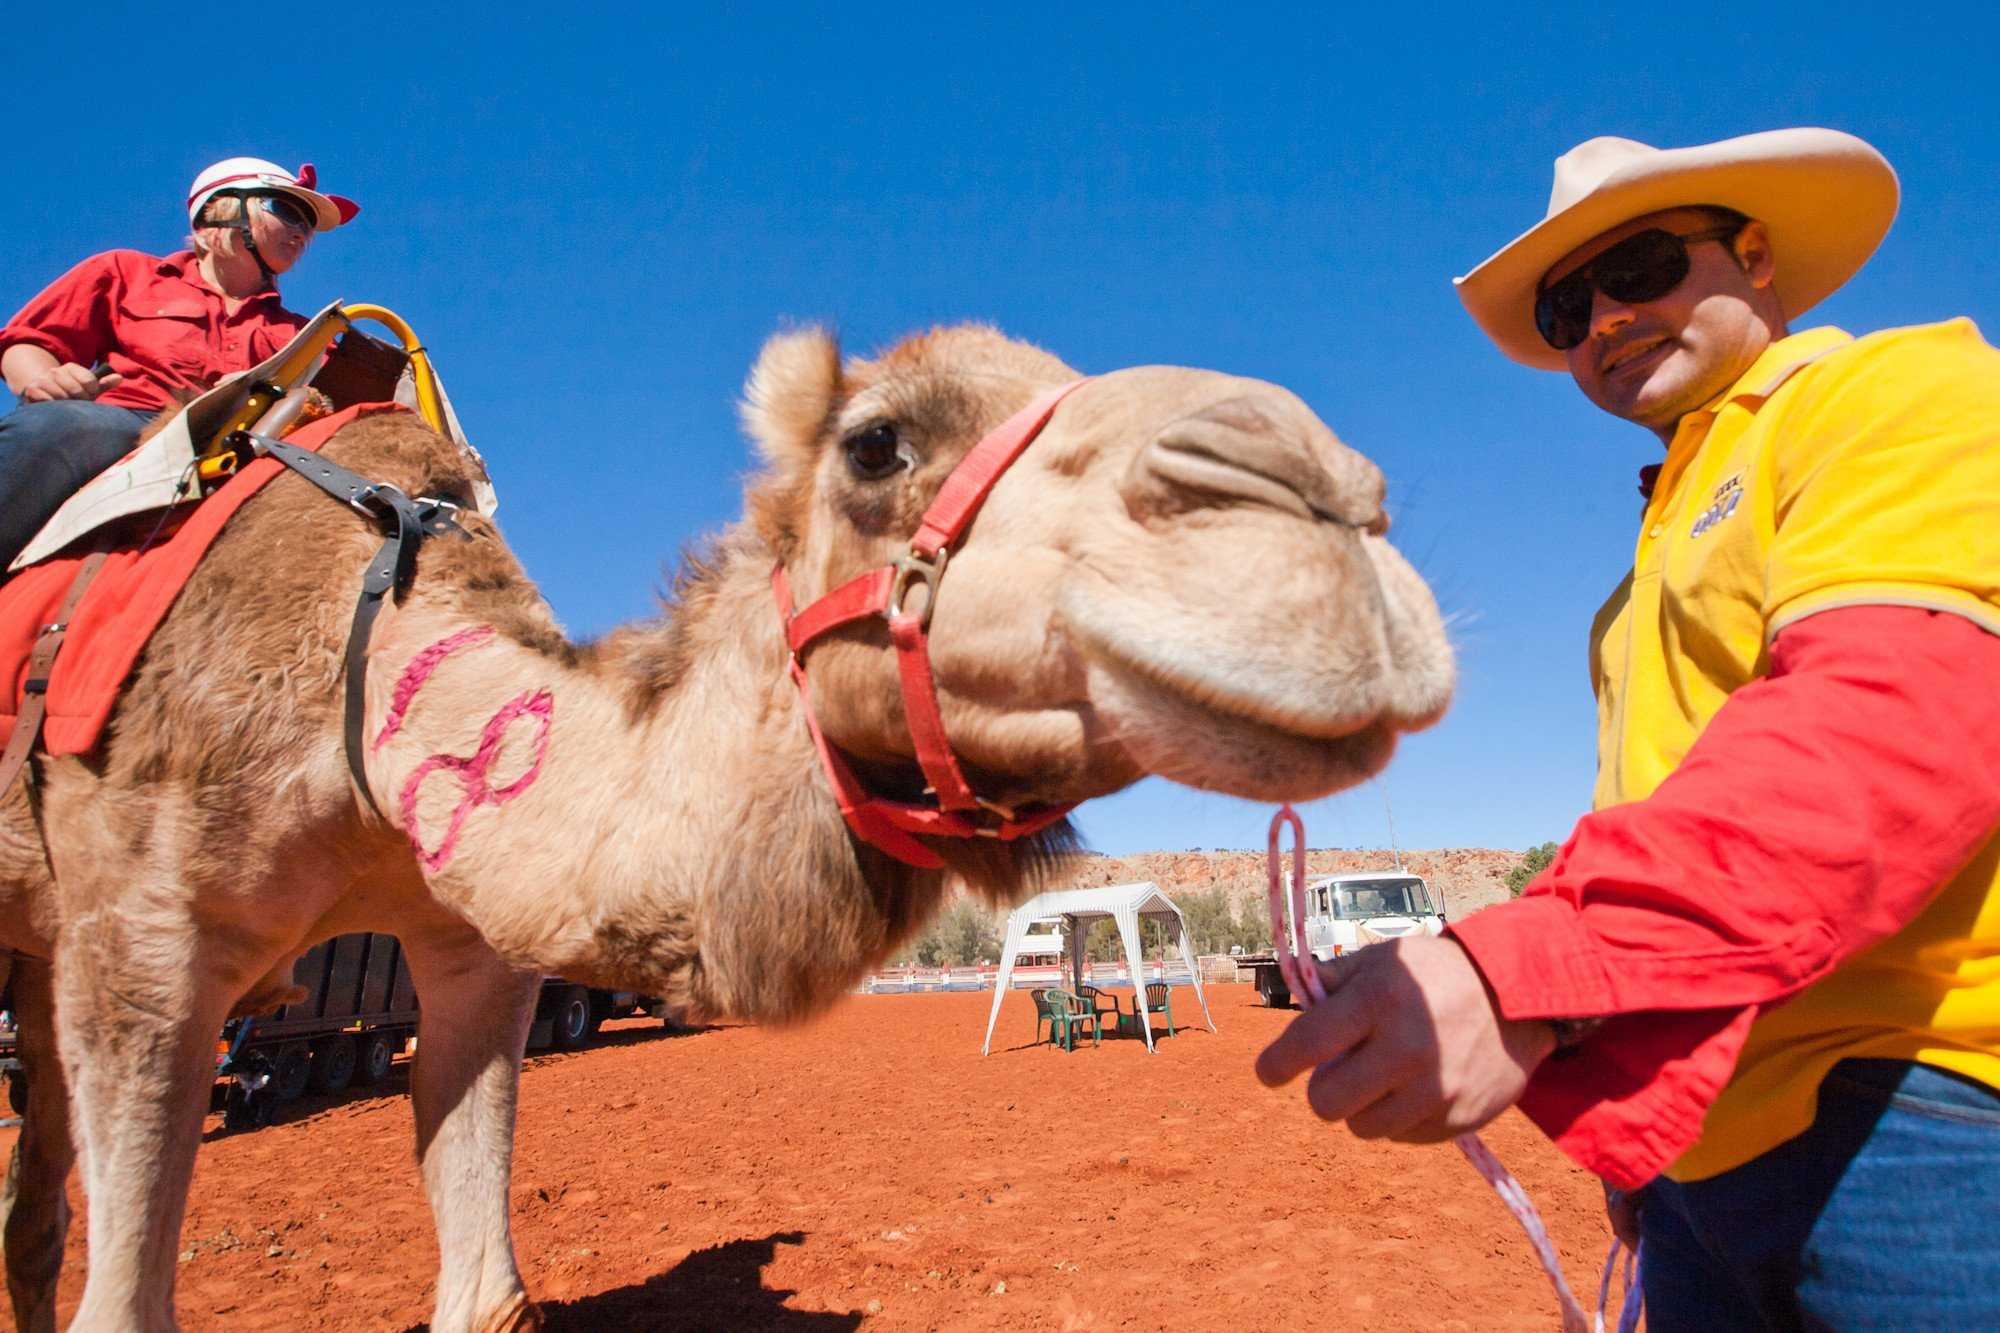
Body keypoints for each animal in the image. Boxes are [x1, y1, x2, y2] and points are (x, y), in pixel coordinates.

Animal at [0, 322, 1452, 1331]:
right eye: (874, 444)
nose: (1324, 507)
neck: (359, 677)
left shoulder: (472, 953)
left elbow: (490, 1294)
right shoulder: (144, 934)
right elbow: (124, 1302)